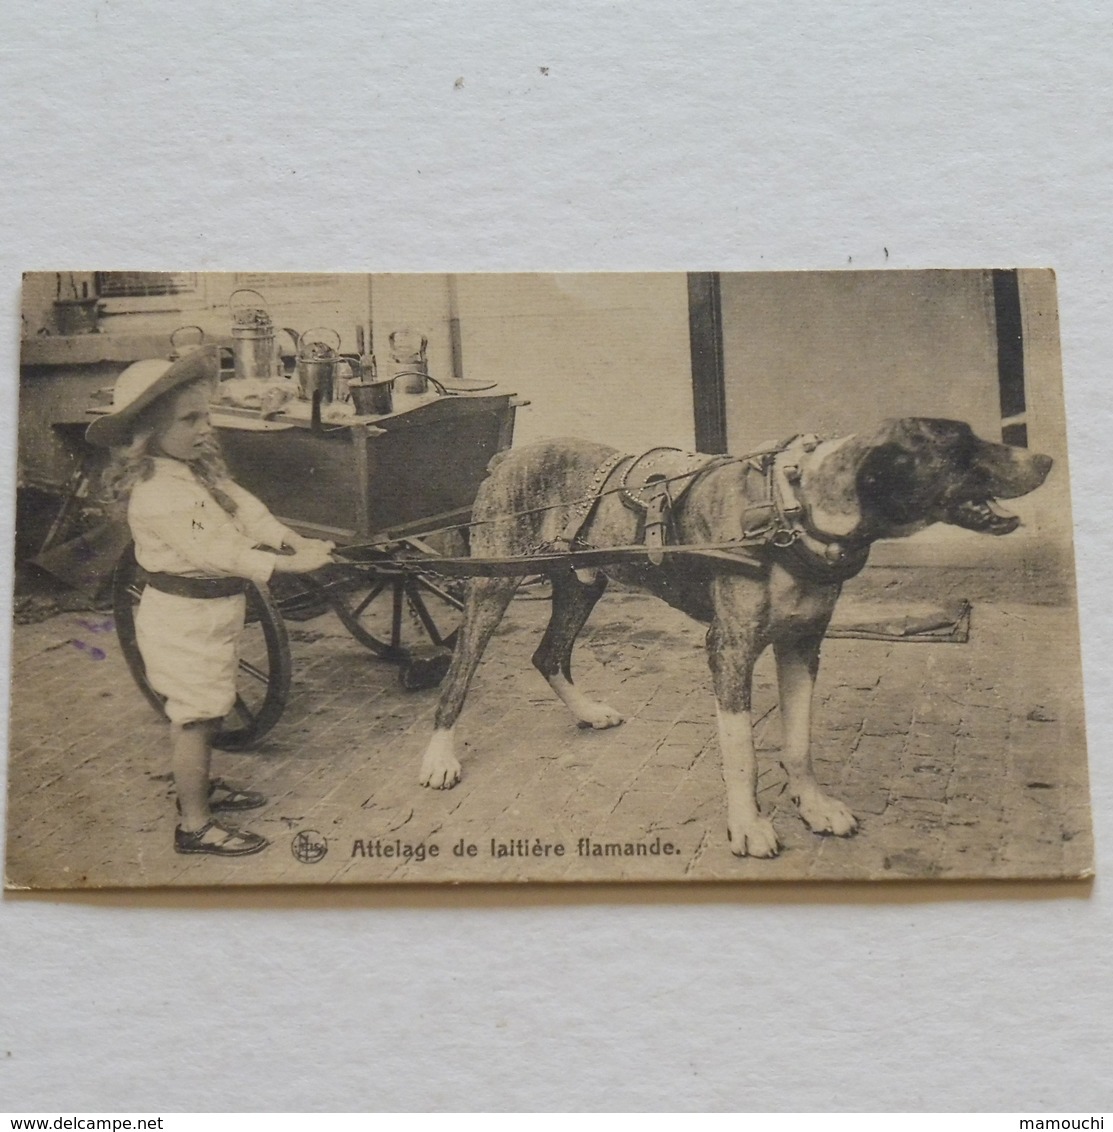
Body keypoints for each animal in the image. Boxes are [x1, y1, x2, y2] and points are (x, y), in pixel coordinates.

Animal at [416, 423, 1055, 855]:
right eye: (959, 449)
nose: (1046, 457)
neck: (791, 509)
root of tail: (508, 453)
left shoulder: (802, 643)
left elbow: (798, 741)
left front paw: (813, 805)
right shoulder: (730, 649)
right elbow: (741, 750)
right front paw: (748, 825)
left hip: (581, 583)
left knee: (548, 654)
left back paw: (588, 711)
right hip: (491, 585)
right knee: (457, 678)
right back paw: (439, 758)